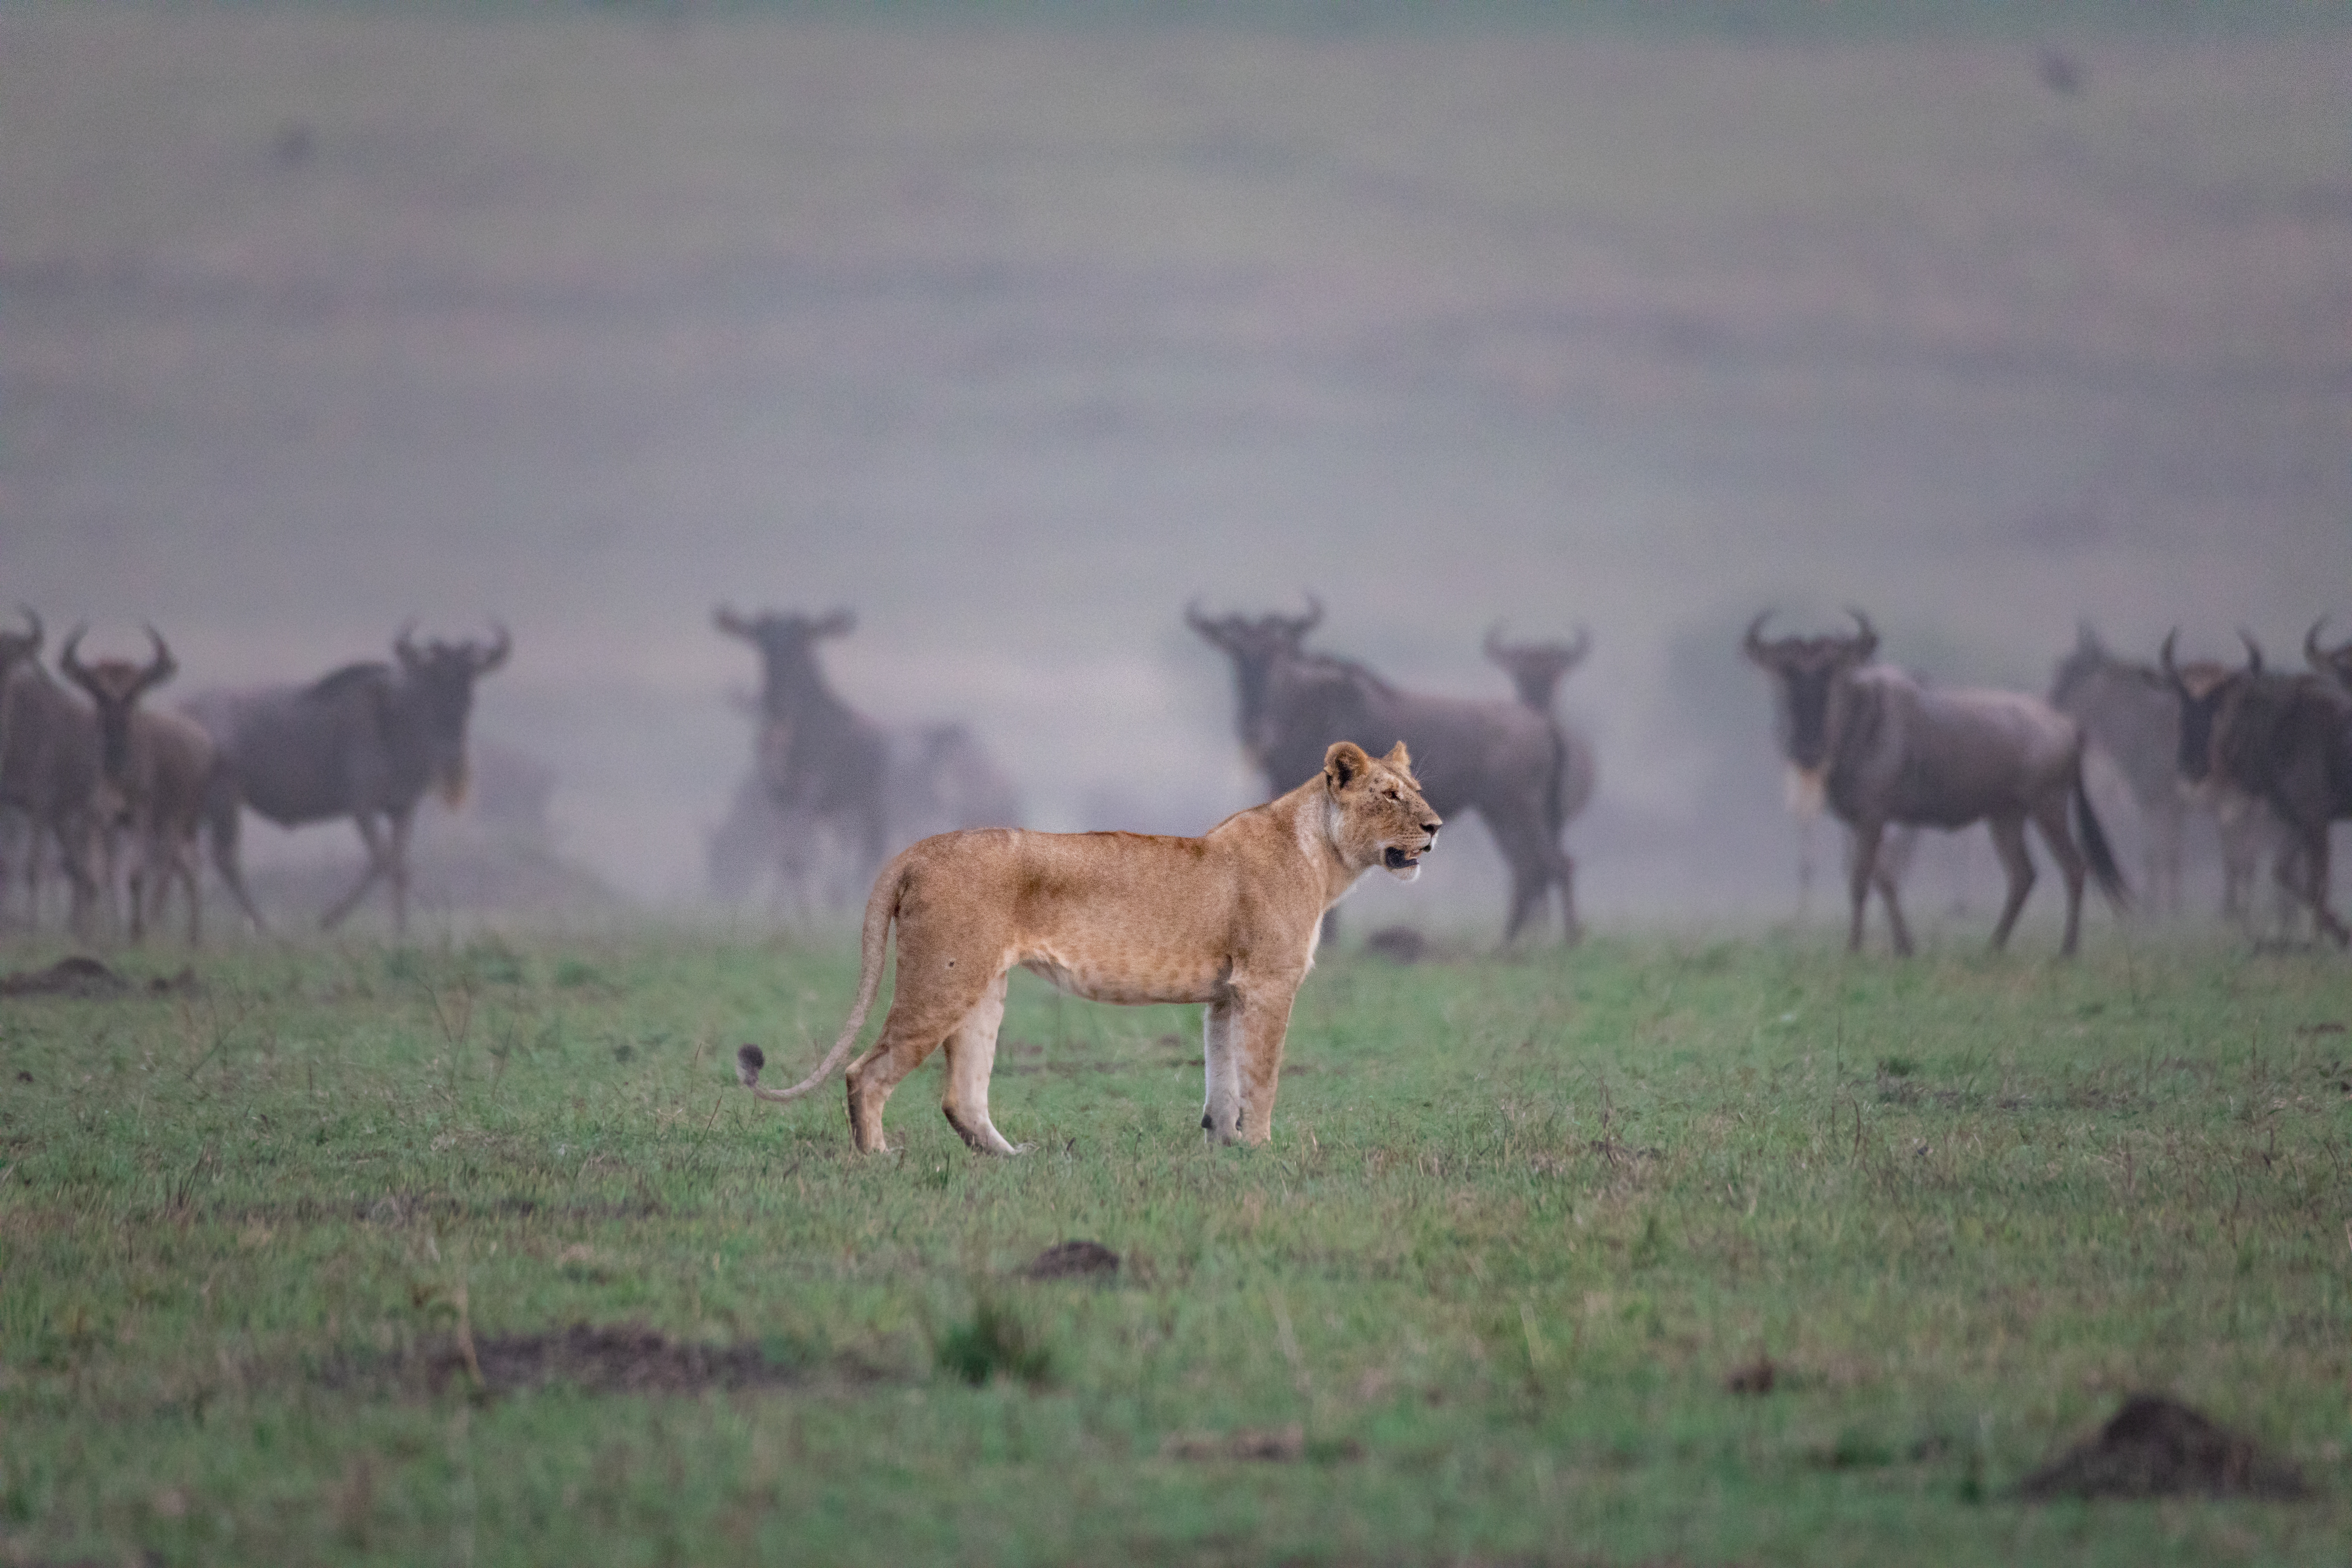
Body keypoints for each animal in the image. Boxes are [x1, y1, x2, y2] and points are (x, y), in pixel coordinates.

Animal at [735, 739, 1441, 1152]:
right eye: (1388, 795)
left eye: (1417, 792)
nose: (1436, 827)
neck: (1323, 857)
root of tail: (917, 849)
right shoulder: (1268, 984)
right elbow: (1262, 1076)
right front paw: (1264, 1151)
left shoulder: (1227, 995)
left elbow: (1223, 1077)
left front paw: (1224, 1146)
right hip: (942, 980)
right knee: (867, 1072)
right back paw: (880, 1159)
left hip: (981, 987)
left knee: (962, 1096)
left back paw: (1012, 1161)